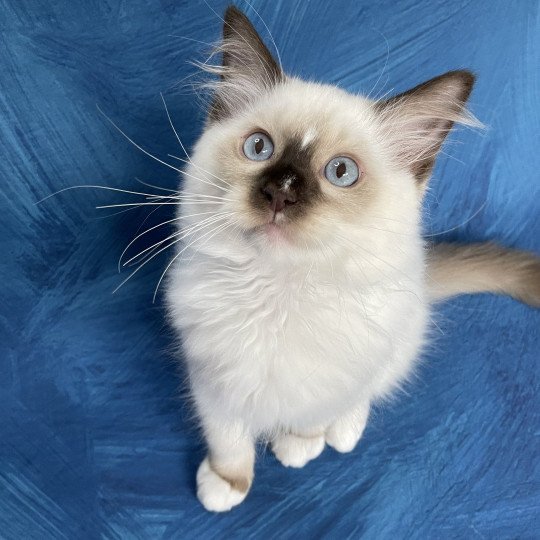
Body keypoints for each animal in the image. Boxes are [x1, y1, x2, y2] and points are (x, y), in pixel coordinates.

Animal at [165, 5, 540, 510]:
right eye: (259, 148)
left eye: (341, 173)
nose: (280, 191)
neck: (278, 294)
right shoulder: (213, 383)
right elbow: (229, 440)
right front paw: (228, 485)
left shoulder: (334, 377)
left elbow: (314, 413)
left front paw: (298, 446)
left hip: (397, 336)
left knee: (371, 391)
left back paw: (341, 435)